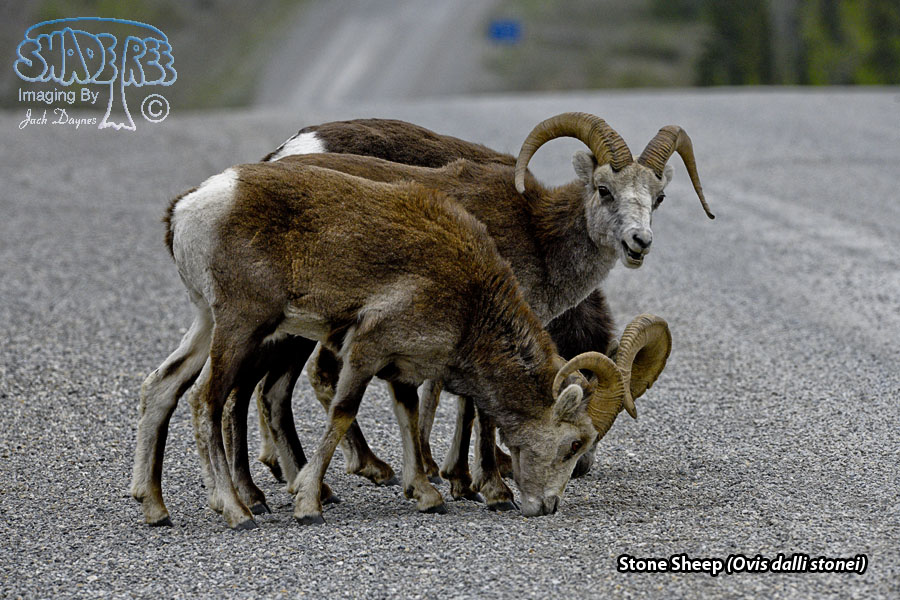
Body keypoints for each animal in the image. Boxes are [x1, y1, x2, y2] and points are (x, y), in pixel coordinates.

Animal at [130, 160, 671, 528]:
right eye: (575, 442)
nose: (549, 506)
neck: (471, 298)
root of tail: (189, 209)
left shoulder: (405, 367)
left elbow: (410, 416)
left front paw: (427, 493)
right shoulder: (366, 349)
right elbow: (344, 412)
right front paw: (308, 505)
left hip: (207, 322)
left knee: (162, 387)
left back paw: (155, 507)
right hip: (242, 326)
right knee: (206, 400)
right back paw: (237, 510)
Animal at [240, 113, 713, 509]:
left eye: (659, 197)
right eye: (604, 190)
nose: (639, 242)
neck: (539, 238)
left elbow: (446, 397)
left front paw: (453, 478)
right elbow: (475, 409)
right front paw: (488, 487)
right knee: (295, 383)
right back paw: (343, 478)